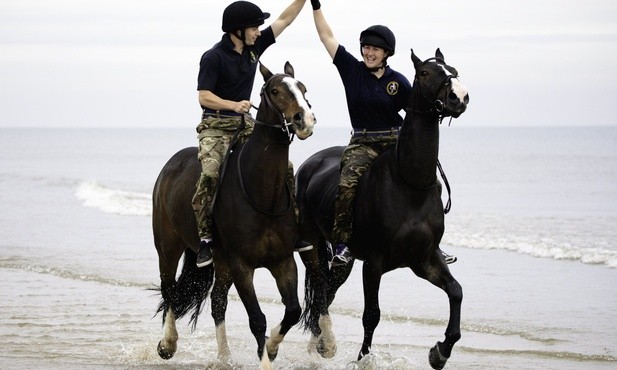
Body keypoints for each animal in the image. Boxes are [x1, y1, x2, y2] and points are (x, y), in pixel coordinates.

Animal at [153, 61, 316, 368]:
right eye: (275, 91)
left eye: (303, 88)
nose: (305, 120)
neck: (262, 193)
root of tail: (170, 166)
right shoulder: (242, 265)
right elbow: (257, 319)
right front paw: (265, 359)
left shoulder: (283, 261)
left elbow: (292, 310)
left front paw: (271, 348)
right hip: (168, 248)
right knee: (169, 290)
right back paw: (167, 345)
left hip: (221, 262)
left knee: (217, 303)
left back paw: (224, 357)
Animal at [296, 49, 470, 370]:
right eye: (425, 73)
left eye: (453, 70)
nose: (460, 97)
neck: (410, 185)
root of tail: (309, 165)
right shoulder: (374, 264)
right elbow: (371, 315)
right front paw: (363, 359)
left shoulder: (425, 260)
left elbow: (456, 292)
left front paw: (440, 351)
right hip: (312, 248)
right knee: (321, 292)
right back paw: (324, 344)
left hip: (346, 262)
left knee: (328, 291)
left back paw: (320, 342)